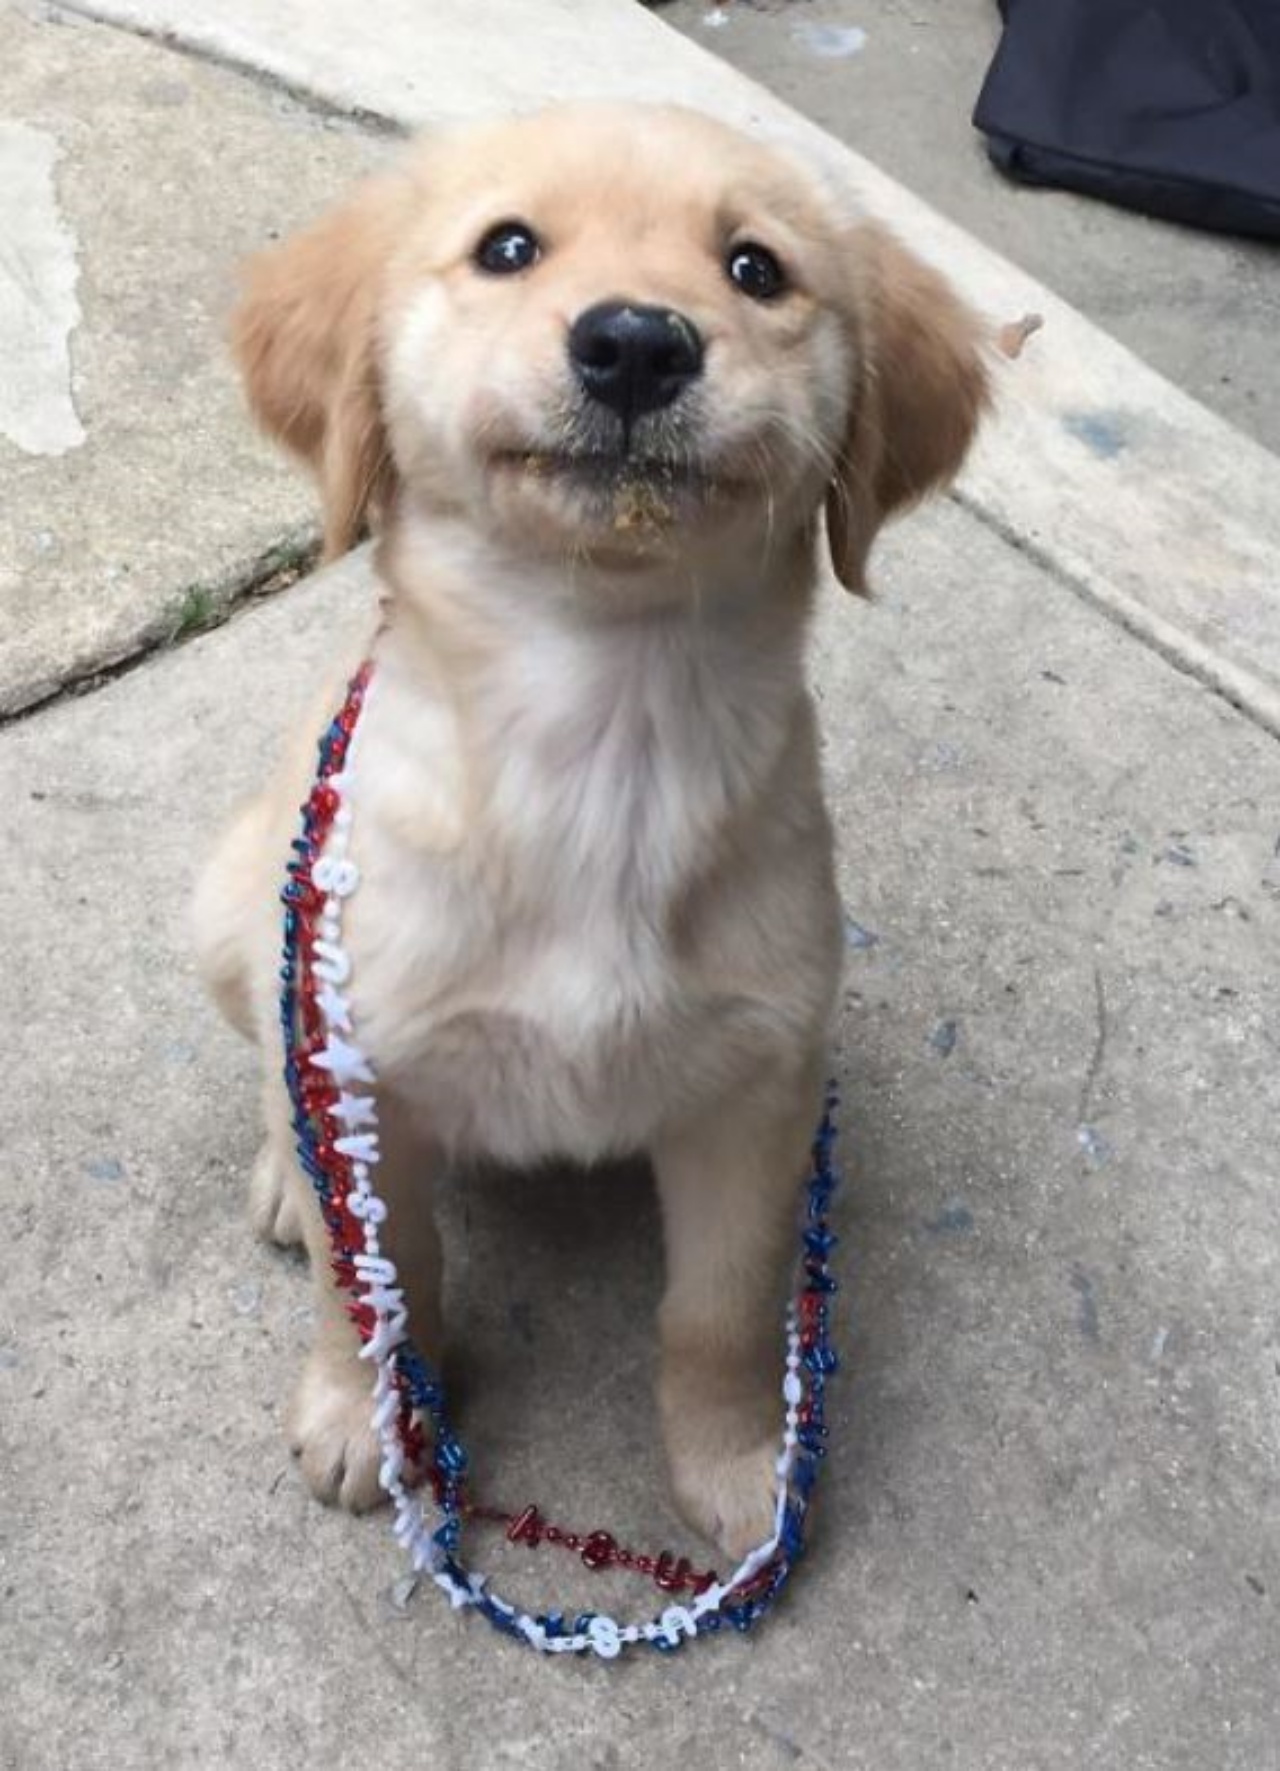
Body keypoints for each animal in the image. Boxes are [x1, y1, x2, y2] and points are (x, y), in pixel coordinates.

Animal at [195, 103, 991, 1558]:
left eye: (754, 269)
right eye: (508, 248)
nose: (635, 343)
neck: (600, 734)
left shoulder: (757, 1089)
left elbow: (717, 1311)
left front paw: (733, 1463)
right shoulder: (365, 1057)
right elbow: (374, 1279)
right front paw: (361, 1413)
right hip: (234, 910)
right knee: (280, 1085)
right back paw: (284, 1177)